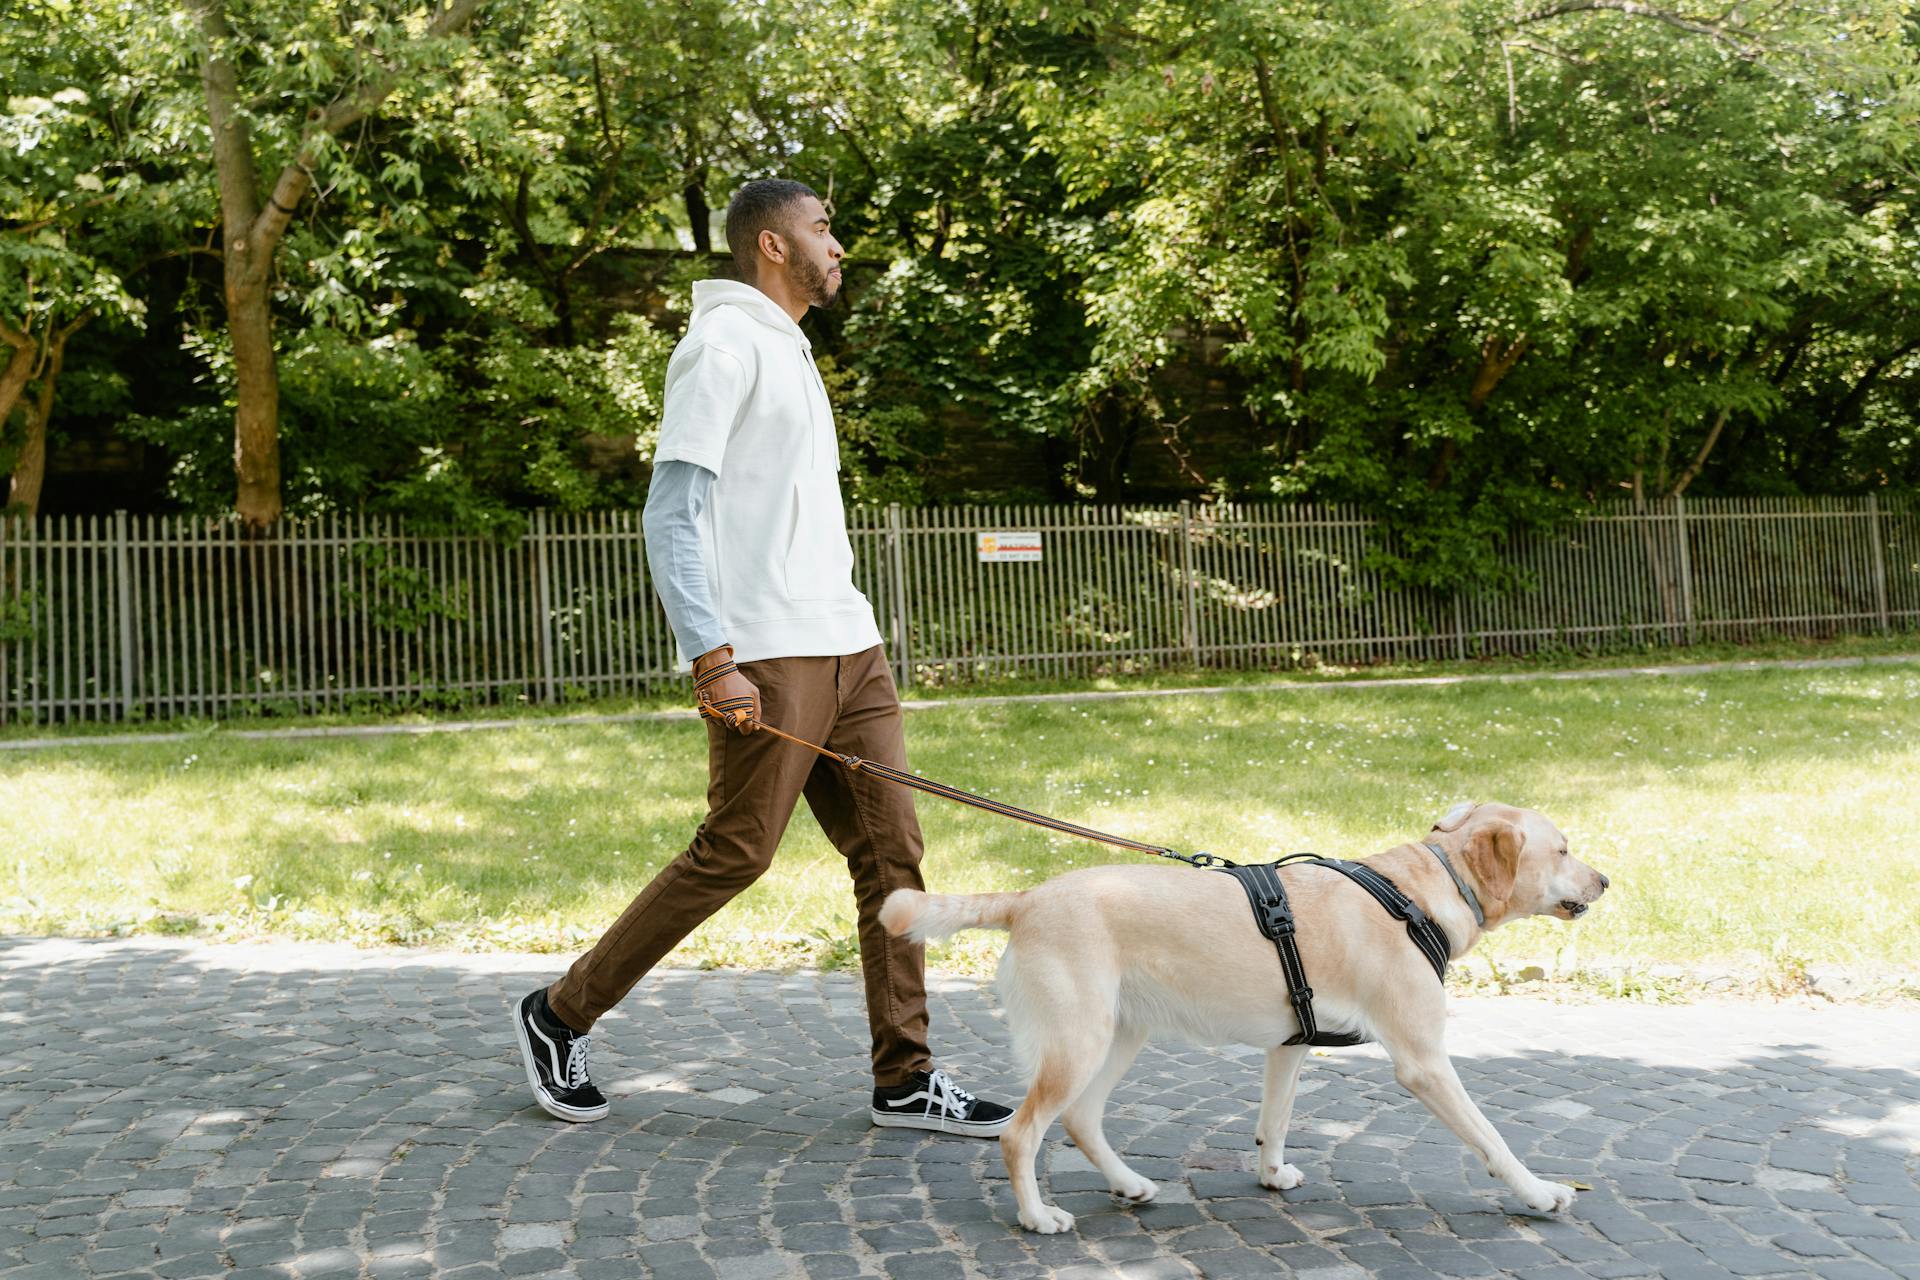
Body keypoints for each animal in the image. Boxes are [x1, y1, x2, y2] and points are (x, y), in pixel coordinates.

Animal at [879, 802, 1605, 1228]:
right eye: (1564, 849)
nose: (1606, 881)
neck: (1418, 893)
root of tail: (1029, 897)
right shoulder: (1424, 1063)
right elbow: (1491, 1138)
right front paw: (1538, 1193)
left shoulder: (1290, 1046)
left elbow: (1273, 1121)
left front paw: (1270, 1174)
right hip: (1078, 1044)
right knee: (1022, 1134)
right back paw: (1037, 1217)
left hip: (1118, 1038)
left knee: (1082, 1120)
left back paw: (1129, 1184)